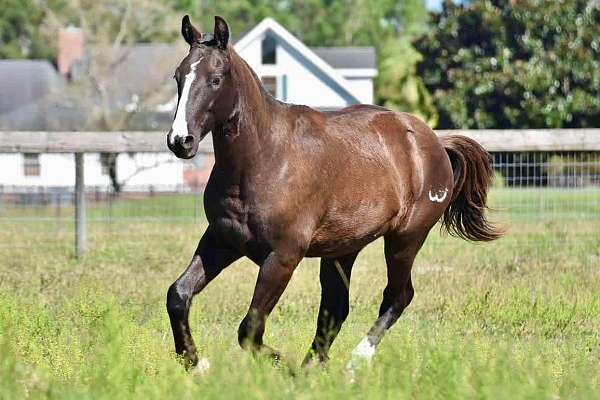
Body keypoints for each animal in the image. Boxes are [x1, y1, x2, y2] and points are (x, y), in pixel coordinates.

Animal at [164, 15, 502, 372]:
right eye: (178, 77)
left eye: (215, 79)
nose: (180, 141)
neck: (264, 158)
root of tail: (436, 141)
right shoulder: (221, 240)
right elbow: (178, 295)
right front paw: (196, 363)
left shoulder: (283, 256)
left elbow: (250, 328)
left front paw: (284, 367)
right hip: (343, 249)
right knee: (336, 309)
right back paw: (316, 367)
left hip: (405, 239)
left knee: (397, 296)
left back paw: (354, 362)